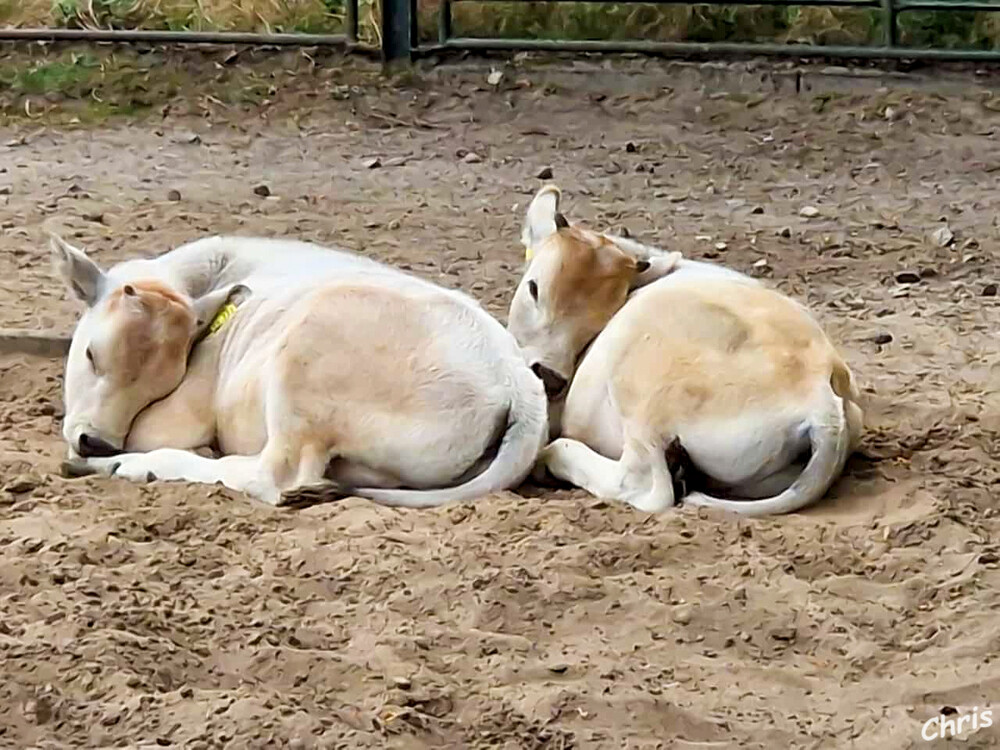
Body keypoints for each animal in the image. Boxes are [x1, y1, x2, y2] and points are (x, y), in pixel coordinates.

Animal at [53, 232, 548, 508]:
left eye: (161, 386)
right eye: (91, 355)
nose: (96, 441)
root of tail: (520, 381)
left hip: (302, 375)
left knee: (271, 475)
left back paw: (122, 466)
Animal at [504, 187, 864, 516]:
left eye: (597, 321)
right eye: (533, 288)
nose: (549, 377)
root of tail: (823, 398)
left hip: (642, 400)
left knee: (644, 485)